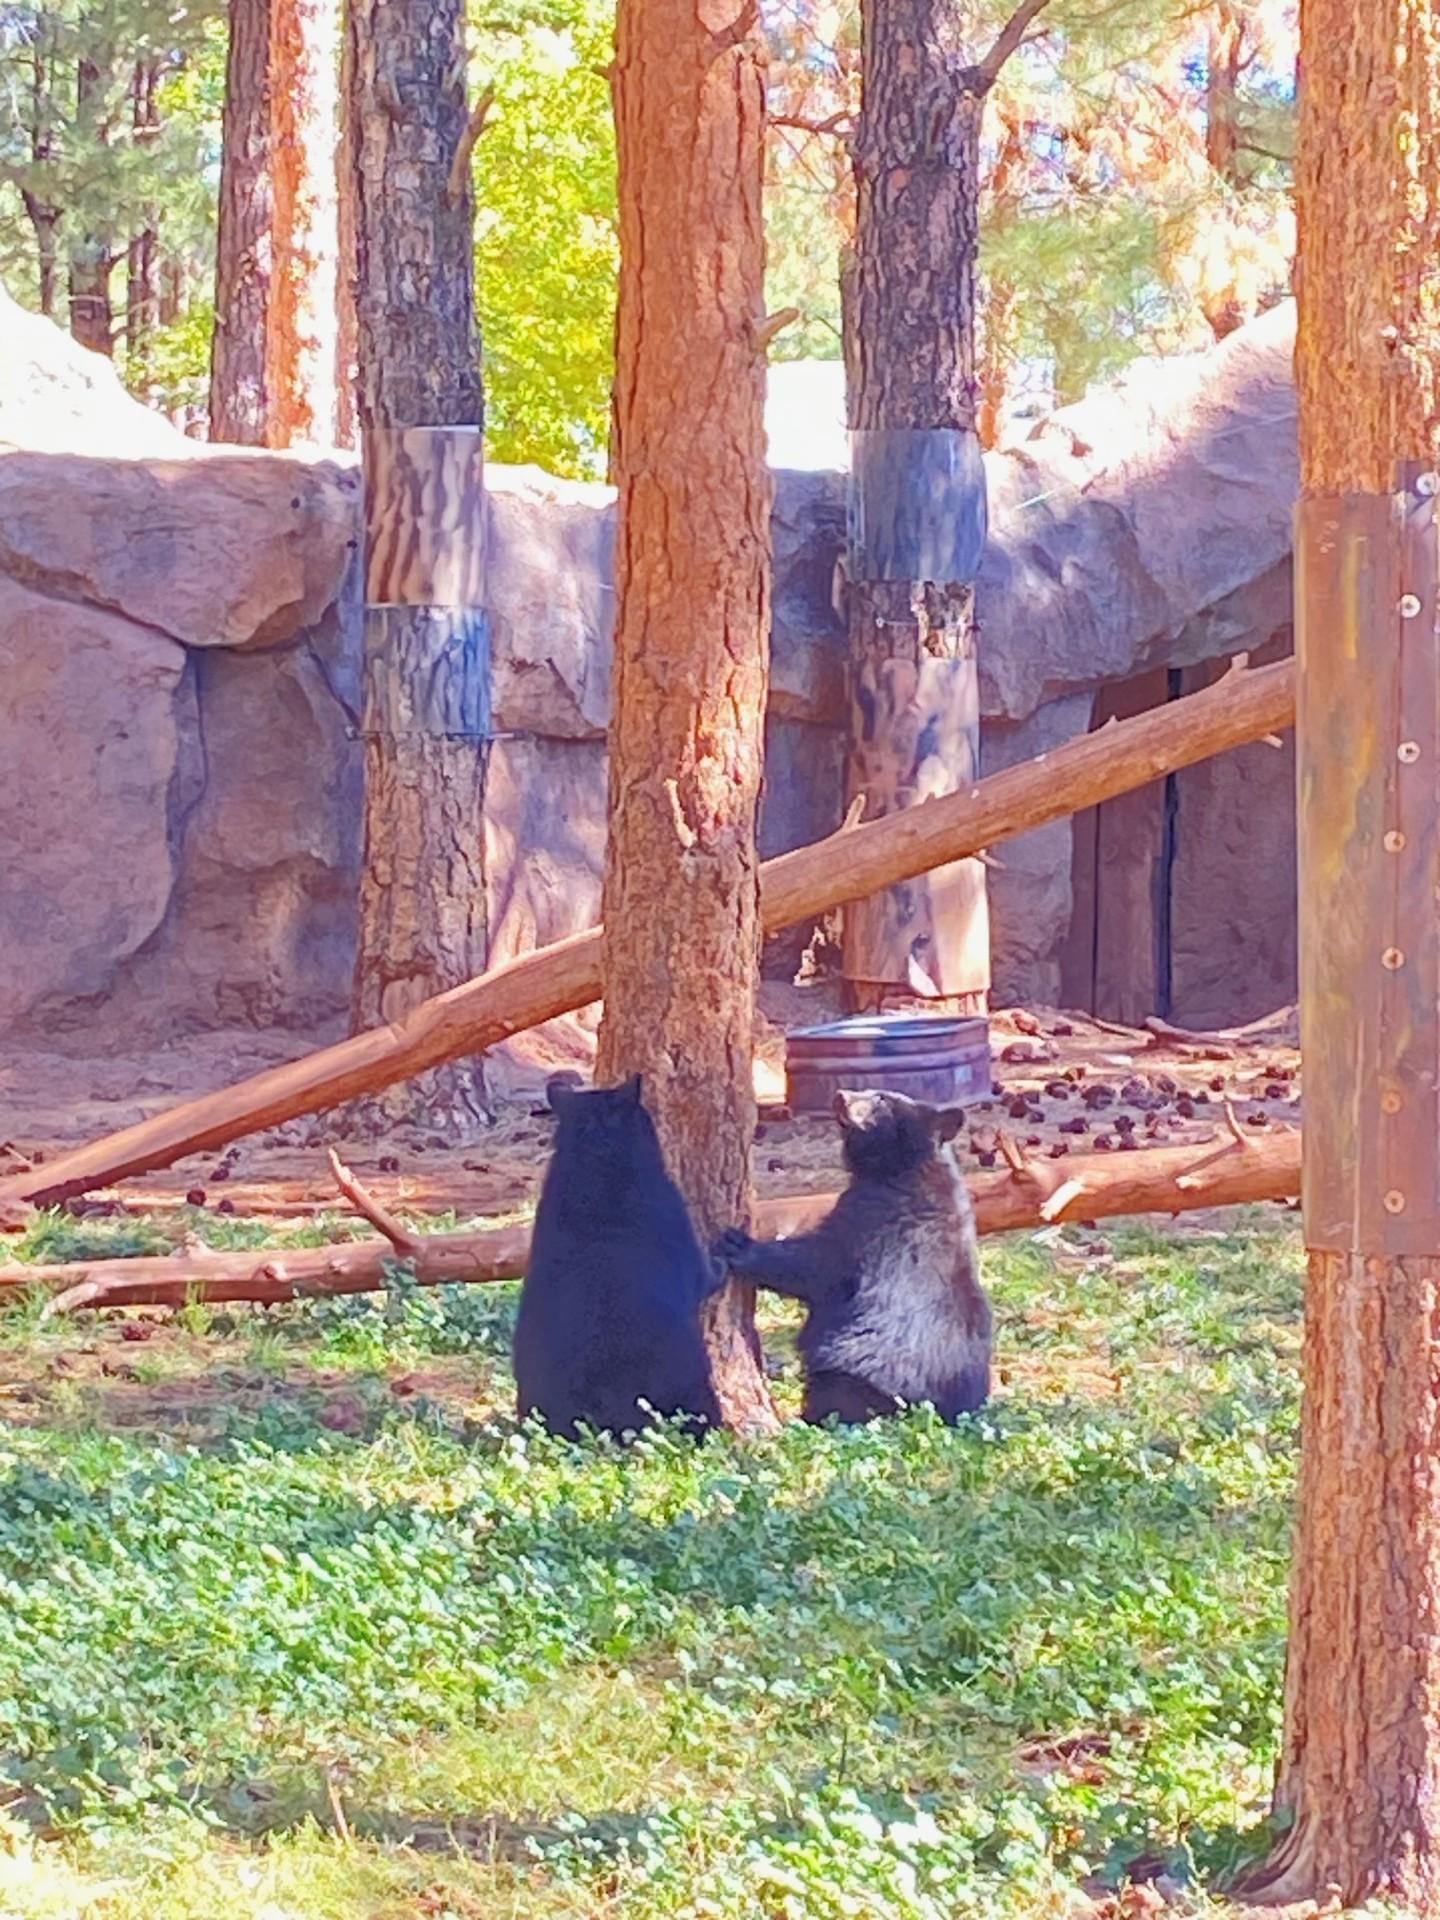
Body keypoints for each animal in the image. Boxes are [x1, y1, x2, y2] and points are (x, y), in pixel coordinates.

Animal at [713, 1087, 991, 1424]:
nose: (840, 1095)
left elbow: (817, 1264)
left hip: (860, 1377)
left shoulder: (874, 1220)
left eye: (882, 1098)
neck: (904, 1167)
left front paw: (740, 1246)